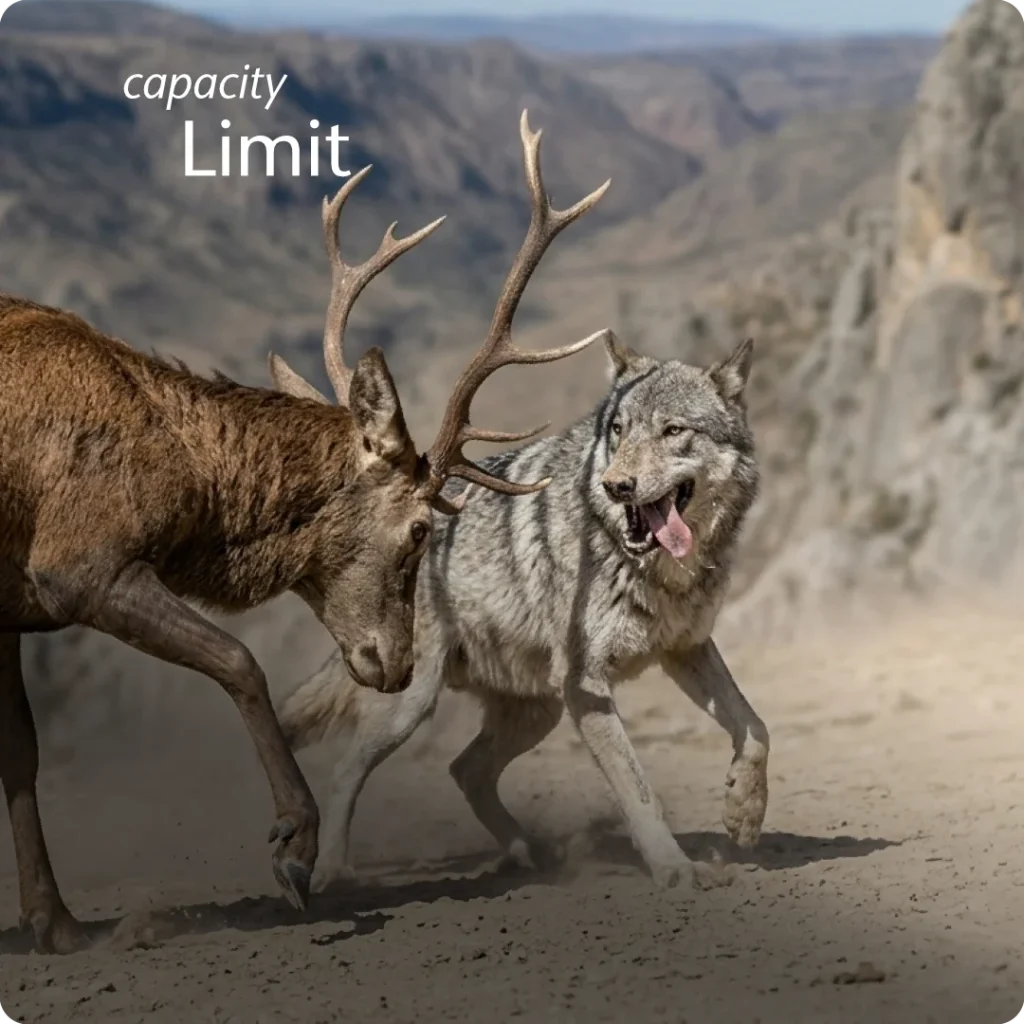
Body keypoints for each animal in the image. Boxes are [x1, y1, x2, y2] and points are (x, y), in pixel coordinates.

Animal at [0, 109, 611, 954]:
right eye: (420, 530)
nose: (396, 664)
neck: (187, 486)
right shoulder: (80, 562)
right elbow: (239, 660)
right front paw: (294, 847)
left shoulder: (11, 607)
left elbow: (20, 752)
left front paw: (54, 920)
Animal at [279, 332, 770, 889]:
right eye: (618, 430)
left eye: (674, 431)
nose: (616, 485)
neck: (653, 568)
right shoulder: (585, 685)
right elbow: (639, 789)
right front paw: (674, 867)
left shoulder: (686, 649)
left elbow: (756, 729)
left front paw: (744, 812)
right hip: (412, 705)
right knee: (348, 770)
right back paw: (332, 872)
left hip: (538, 711)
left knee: (465, 770)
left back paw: (531, 852)